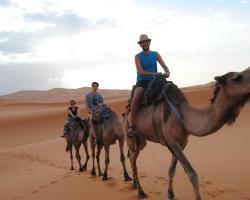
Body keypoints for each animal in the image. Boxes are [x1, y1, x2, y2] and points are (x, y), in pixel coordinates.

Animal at [122, 67, 250, 200]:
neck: (183, 116)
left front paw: (170, 194)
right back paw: (141, 192)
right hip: (129, 137)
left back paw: (134, 184)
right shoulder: (172, 141)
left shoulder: (182, 142)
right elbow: (192, 174)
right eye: (237, 78)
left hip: (141, 141)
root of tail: (125, 115)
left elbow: (171, 170)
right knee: (133, 162)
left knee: (133, 159)